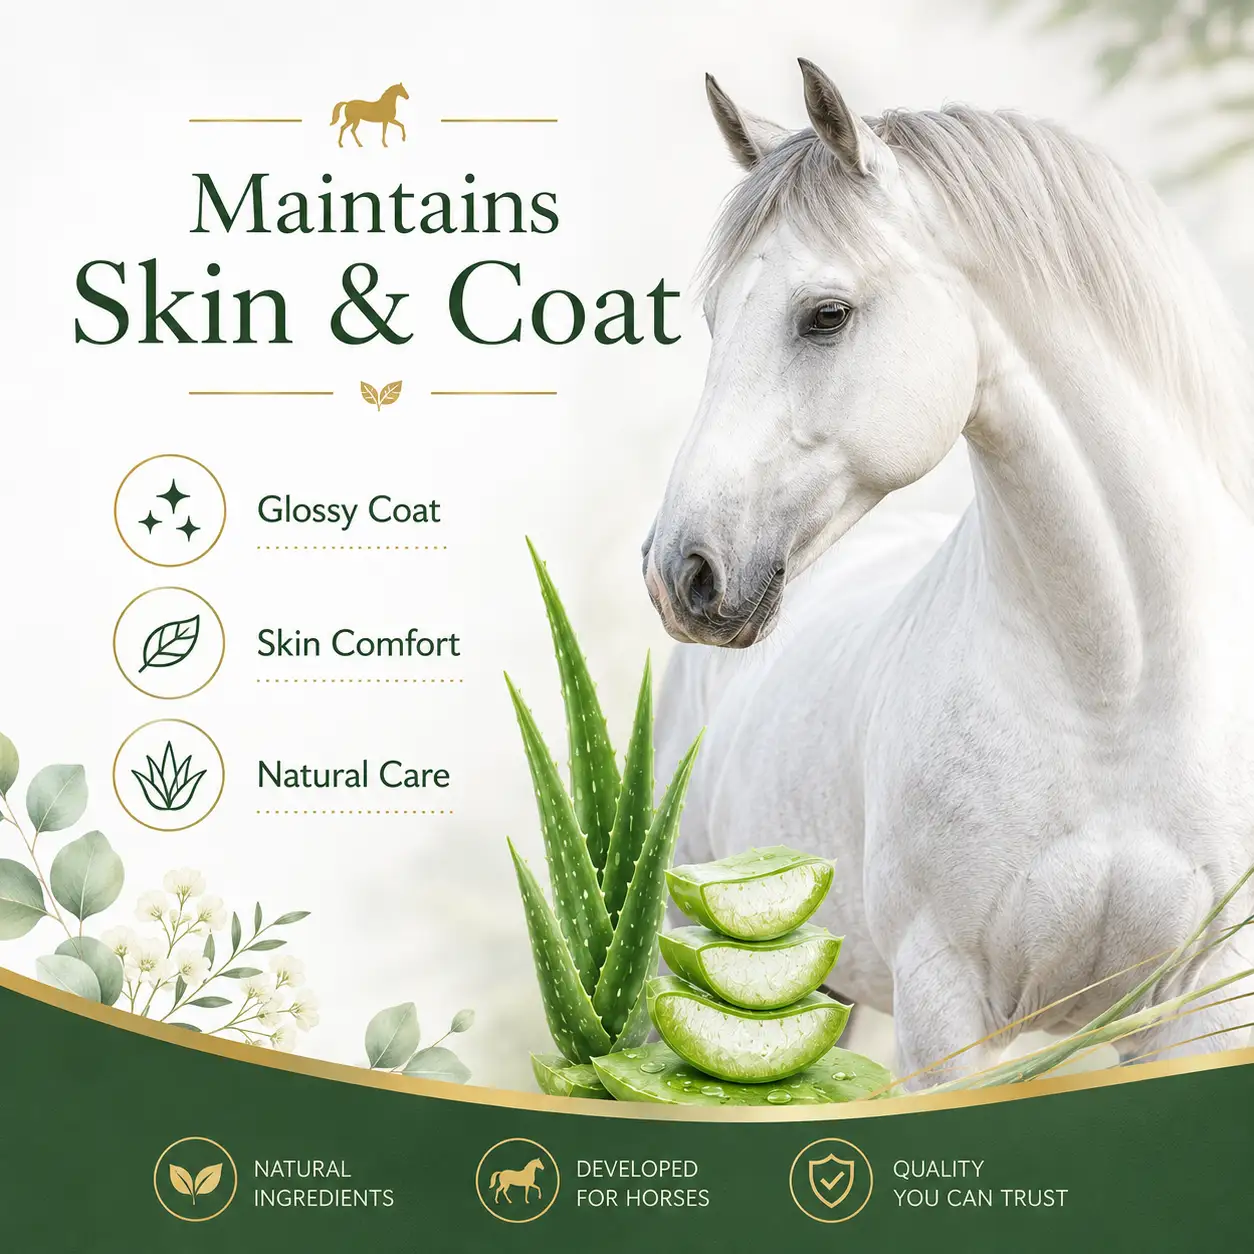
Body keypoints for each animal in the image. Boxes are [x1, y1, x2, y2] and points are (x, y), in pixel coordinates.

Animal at [646, 60, 1254, 1086]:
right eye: (713, 320)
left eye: (826, 316)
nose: (679, 571)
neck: (1119, 686)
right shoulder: (947, 1003)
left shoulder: (1205, 1000)